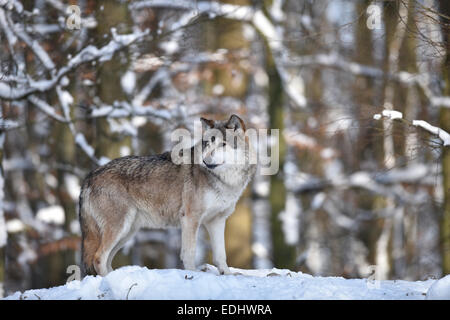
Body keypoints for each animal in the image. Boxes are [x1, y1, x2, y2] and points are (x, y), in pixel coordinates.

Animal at [78, 114, 255, 276]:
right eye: (207, 144)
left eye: (223, 144)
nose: (205, 160)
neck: (225, 180)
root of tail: (89, 177)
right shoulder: (190, 217)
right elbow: (189, 252)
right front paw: (193, 274)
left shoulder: (216, 220)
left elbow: (221, 255)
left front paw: (228, 274)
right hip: (119, 228)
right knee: (98, 258)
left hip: (127, 232)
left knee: (106, 259)